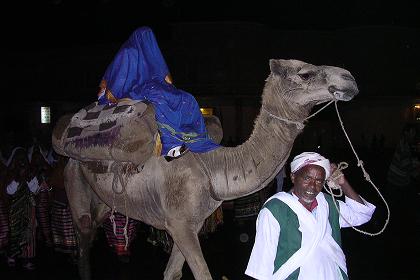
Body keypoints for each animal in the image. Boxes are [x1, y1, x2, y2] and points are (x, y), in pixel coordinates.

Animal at [60, 58, 360, 278]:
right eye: (305, 74)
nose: (349, 78)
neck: (214, 166)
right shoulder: (179, 224)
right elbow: (202, 274)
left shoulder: (188, 224)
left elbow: (172, 273)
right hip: (74, 177)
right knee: (83, 236)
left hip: (102, 198)